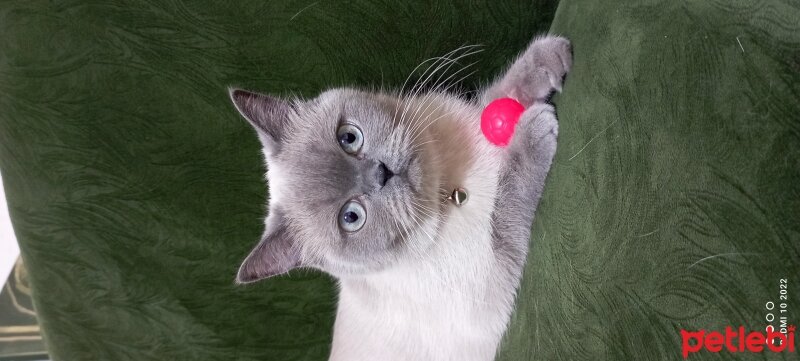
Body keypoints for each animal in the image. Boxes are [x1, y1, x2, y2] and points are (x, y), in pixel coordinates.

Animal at [228, 34, 572, 360]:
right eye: (351, 217)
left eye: (348, 138)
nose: (382, 173)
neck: (448, 190)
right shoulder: (495, 282)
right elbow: (507, 199)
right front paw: (534, 130)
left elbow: (499, 98)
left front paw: (549, 57)